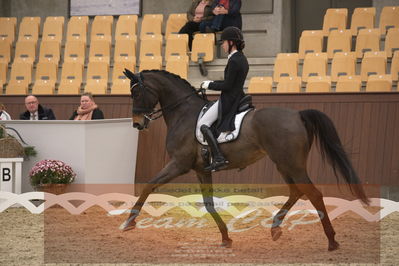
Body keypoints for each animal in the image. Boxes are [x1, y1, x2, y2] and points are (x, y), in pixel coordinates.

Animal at [120, 69, 370, 251]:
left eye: (136, 93)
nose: (137, 124)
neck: (184, 113)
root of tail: (297, 114)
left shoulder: (178, 164)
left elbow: (149, 185)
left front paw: (128, 223)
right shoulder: (202, 169)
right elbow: (209, 204)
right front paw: (225, 238)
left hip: (291, 163)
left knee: (314, 194)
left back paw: (332, 240)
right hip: (283, 164)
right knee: (296, 192)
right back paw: (275, 228)